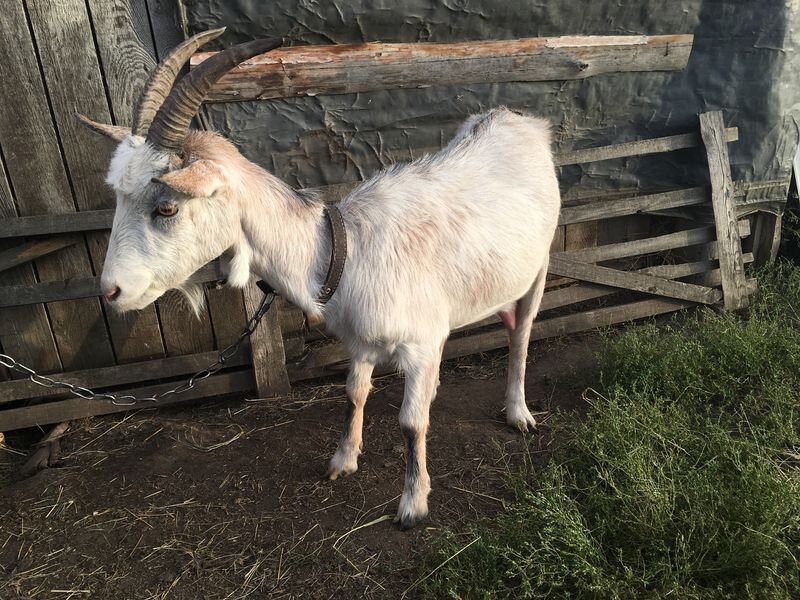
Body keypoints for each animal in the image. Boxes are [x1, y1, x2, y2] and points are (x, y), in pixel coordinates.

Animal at [78, 31, 560, 528]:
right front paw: (343, 460)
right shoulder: (361, 342)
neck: (343, 251)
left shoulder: (421, 343)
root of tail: (517, 120)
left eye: (167, 207)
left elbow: (411, 423)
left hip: (539, 265)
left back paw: (518, 412)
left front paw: (413, 503)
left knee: (521, 335)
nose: (111, 291)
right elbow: (354, 393)